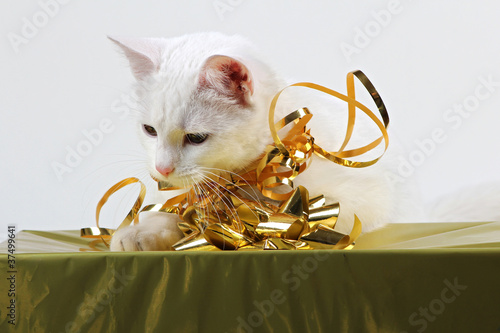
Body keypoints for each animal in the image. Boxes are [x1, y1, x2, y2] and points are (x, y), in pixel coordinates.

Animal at [107, 32, 424, 250]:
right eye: (150, 130)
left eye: (196, 138)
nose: (162, 169)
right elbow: (177, 211)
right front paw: (143, 231)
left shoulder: (366, 198)